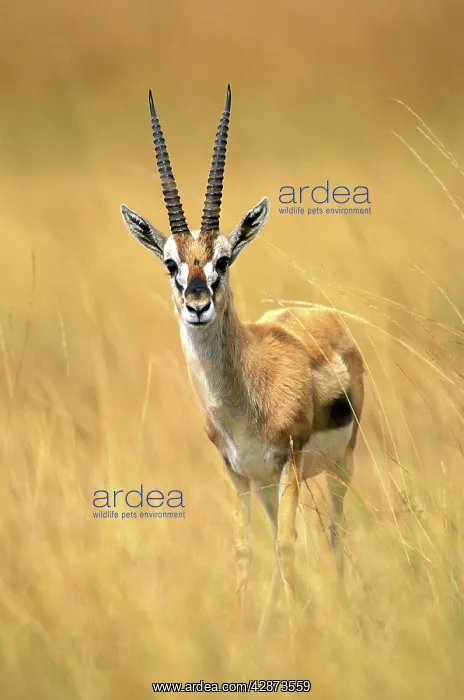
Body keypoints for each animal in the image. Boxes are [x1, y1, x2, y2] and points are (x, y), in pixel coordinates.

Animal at [120, 86, 364, 621]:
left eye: (224, 259)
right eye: (170, 262)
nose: (197, 305)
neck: (245, 395)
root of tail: (323, 314)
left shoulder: (288, 463)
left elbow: (289, 545)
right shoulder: (236, 471)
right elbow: (246, 549)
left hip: (339, 466)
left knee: (335, 531)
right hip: (269, 483)